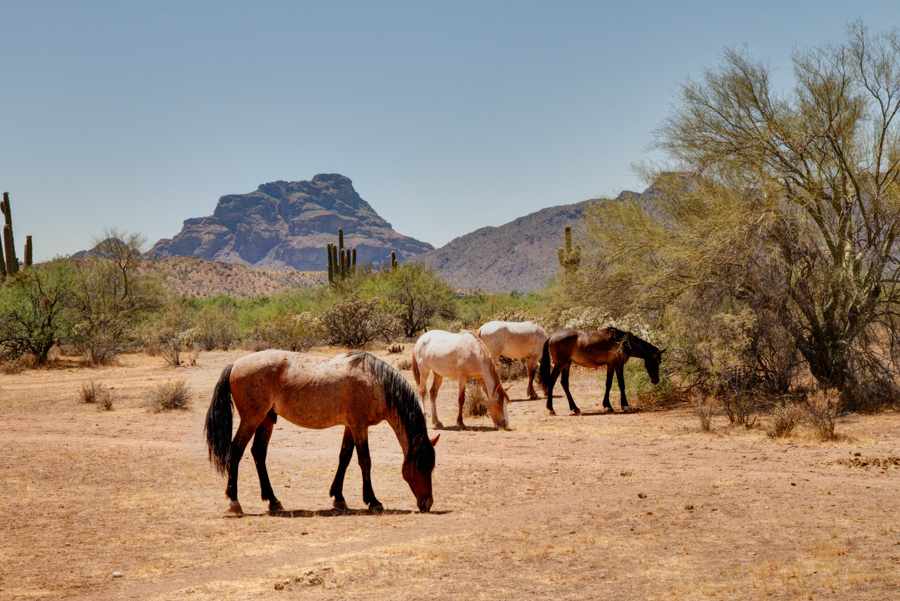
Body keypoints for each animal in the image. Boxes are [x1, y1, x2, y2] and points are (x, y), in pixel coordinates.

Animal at [205, 350, 442, 512]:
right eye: (419, 466)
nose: (427, 503)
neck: (375, 381)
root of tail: (235, 364)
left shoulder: (350, 426)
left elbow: (344, 457)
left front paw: (338, 498)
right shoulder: (359, 425)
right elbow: (365, 461)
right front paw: (373, 501)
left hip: (265, 419)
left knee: (258, 454)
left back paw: (273, 501)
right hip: (251, 419)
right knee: (236, 452)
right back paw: (234, 502)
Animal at [536, 326, 664, 414]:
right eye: (658, 361)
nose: (656, 380)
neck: (623, 342)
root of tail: (552, 337)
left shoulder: (611, 365)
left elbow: (608, 384)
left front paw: (607, 405)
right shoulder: (618, 365)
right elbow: (621, 384)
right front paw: (625, 405)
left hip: (567, 364)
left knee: (564, 383)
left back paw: (575, 408)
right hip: (559, 365)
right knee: (551, 382)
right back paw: (551, 408)